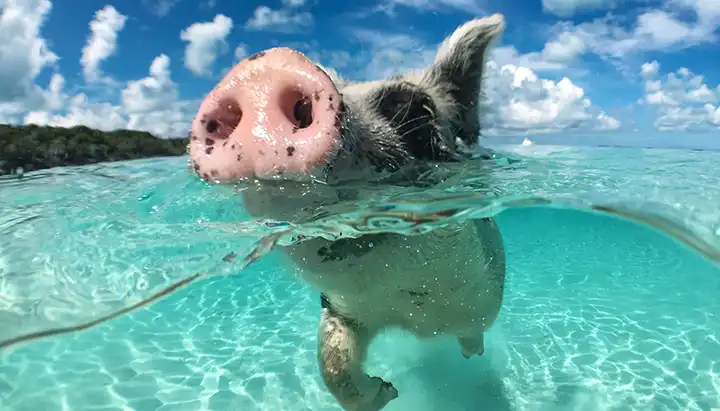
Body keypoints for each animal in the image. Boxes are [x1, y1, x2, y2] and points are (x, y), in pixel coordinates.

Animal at [187, 14, 507, 411]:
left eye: (418, 110)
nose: (262, 70)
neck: (412, 313)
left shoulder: (483, 298)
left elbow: (473, 331)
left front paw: (468, 355)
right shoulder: (341, 309)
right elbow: (331, 360)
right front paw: (388, 391)